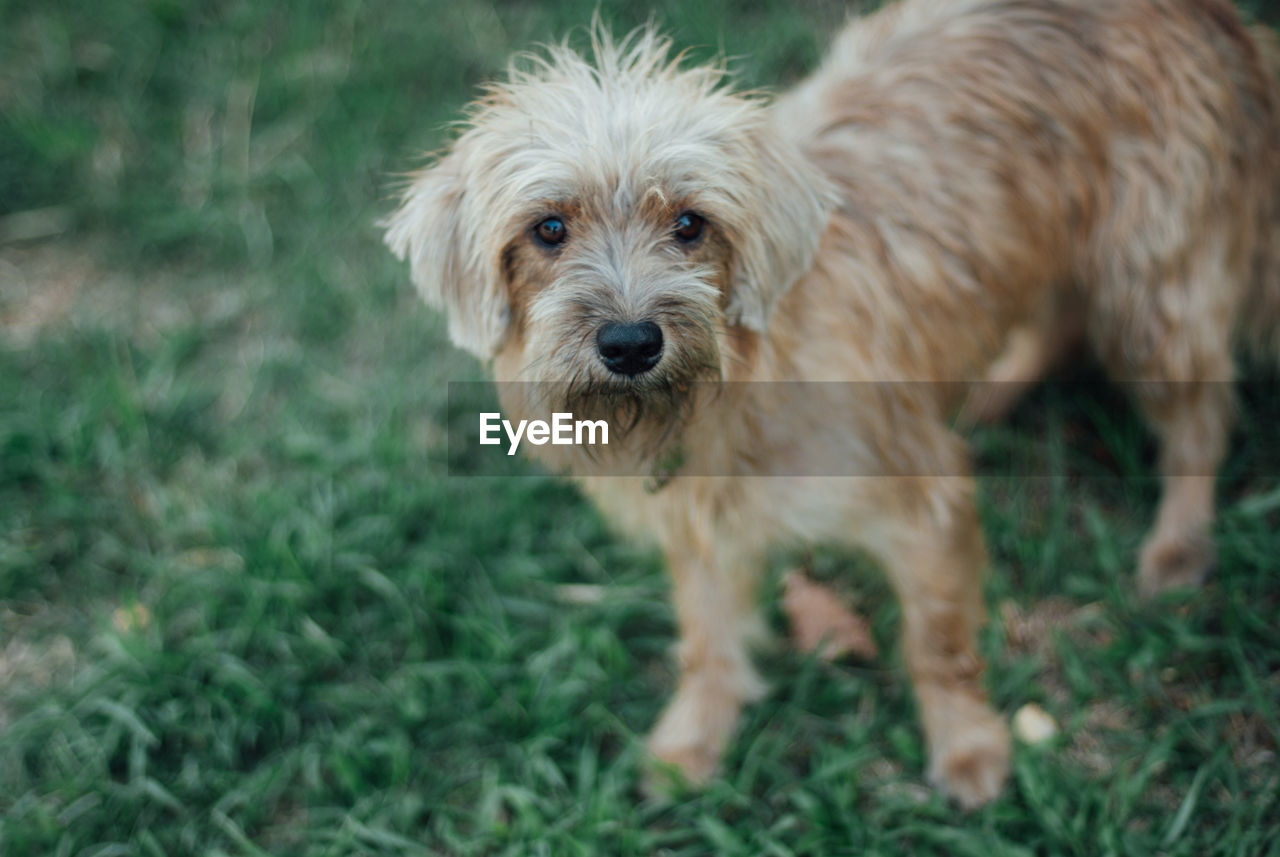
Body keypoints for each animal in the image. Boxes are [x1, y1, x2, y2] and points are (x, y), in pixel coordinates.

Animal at [381, 0, 1280, 808]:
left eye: (690, 224)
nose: (631, 341)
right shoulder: (700, 533)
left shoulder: (923, 507)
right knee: (1056, 319)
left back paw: (1178, 543)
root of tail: (1211, 15)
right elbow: (709, 641)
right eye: (548, 229)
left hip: (1153, 293)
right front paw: (694, 737)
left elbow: (937, 645)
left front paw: (968, 744)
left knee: (1200, 421)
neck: (736, 389)